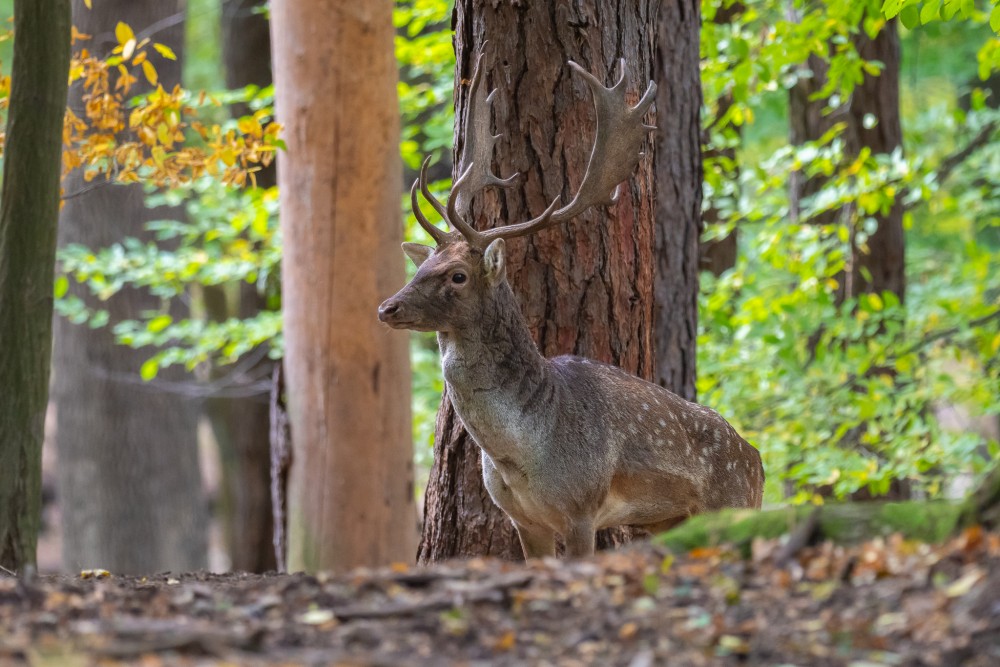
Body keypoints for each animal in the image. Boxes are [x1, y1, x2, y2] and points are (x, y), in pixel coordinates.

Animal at [378, 52, 760, 560]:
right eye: (423, 265)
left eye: (458, 275)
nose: (388, 308)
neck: (520, 452)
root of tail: (759, 462)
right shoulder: (522, 519)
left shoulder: (582, 507)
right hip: (670, 520)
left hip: (732, 503)